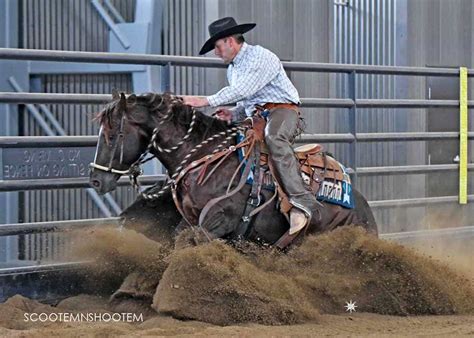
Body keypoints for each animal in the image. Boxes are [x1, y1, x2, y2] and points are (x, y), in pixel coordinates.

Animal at [89, 92, 378, 246]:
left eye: (113, 135)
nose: (95, 181)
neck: (205, 157)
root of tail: (363, 207)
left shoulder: (217, 221)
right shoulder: (191, 220)